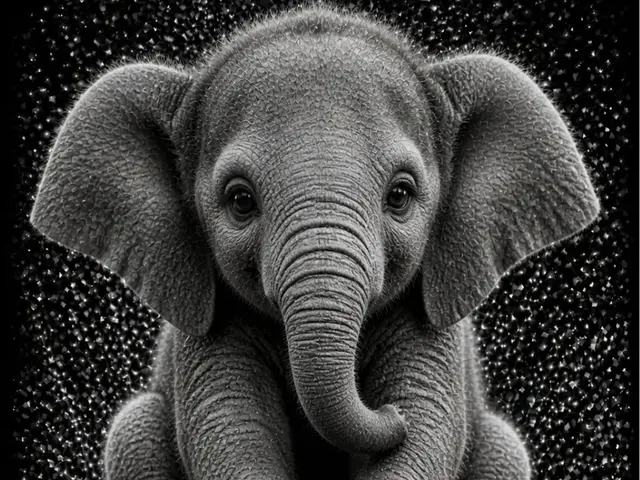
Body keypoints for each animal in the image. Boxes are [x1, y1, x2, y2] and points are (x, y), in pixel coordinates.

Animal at [29, 4, 600, 480]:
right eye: (240, 201)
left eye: (400, 195)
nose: (385, 412)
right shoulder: (206, 322)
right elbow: (230, 433)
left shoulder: (433, 318)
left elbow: (427, 430)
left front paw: (404, 414)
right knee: (135, 431)